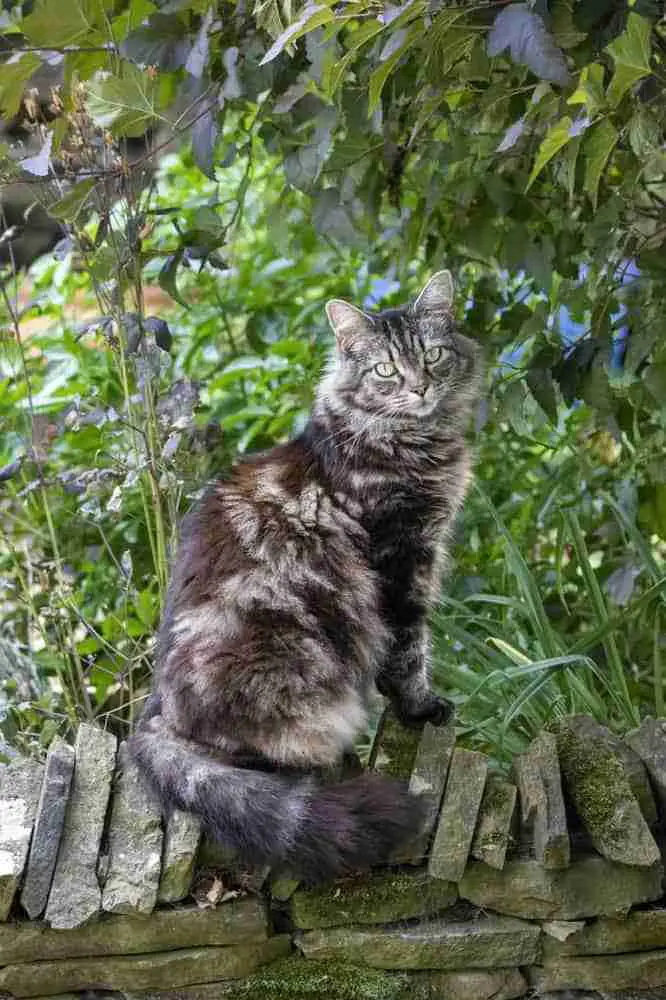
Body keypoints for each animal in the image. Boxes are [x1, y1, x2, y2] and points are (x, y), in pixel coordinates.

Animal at [130, 272, 480, 884]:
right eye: (385, 370)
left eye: (432, 357)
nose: (419, 389)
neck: (409, 442)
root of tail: (152, 715)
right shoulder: (399, 558)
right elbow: (409, 648)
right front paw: (419, 707)